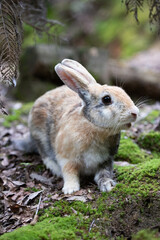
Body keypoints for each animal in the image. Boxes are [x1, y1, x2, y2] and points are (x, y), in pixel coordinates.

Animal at [14, 59, 139, 194]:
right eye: (106, 99)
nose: (135, 112)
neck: (93, 125)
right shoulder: (67, 158)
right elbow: (69, 172)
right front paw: (70, 189)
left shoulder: (106, 160)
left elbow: (104, 173)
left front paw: (107, 185)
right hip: (40, 136)